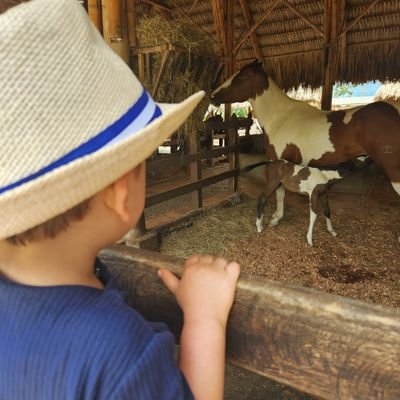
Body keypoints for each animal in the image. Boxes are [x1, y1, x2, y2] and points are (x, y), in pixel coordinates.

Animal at [211, 60, 400, 227]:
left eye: (240, 78)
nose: (213, 96)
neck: (280, 118)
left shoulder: (279, 162)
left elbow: (280, 192)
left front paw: (276, 219)